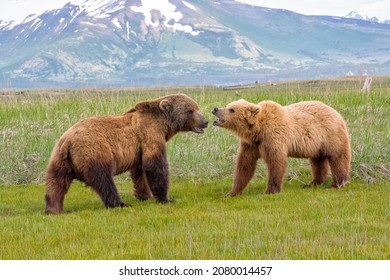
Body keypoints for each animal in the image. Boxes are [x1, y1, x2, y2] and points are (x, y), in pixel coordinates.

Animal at [44, 93, 209, 213]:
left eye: (197, 107)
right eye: (190, 110)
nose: (205, 121)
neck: (164, 125)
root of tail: (68, 140)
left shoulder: (138, 149)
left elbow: (139, 171)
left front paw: (145, 195)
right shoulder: (150, 134)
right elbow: (154, 166)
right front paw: (165, 198)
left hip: (59, 158)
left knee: (56, 182)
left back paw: (55, 209)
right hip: (93, 151)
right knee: (103, 179)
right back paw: (120, 203)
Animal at [212, 99, 352, 196]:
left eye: (232, 109)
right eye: (228, 105)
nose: (215, 108)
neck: (258, 129)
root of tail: (337, 113)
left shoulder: (273, 137)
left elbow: (276, 162)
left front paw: (269, 191)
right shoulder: (251, 144)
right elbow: (245, 164)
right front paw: (232, 192)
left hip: (331, 135)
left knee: (338, 158)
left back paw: (337, 184)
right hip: (317, 144)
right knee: (317, 161)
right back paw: (312, 183)